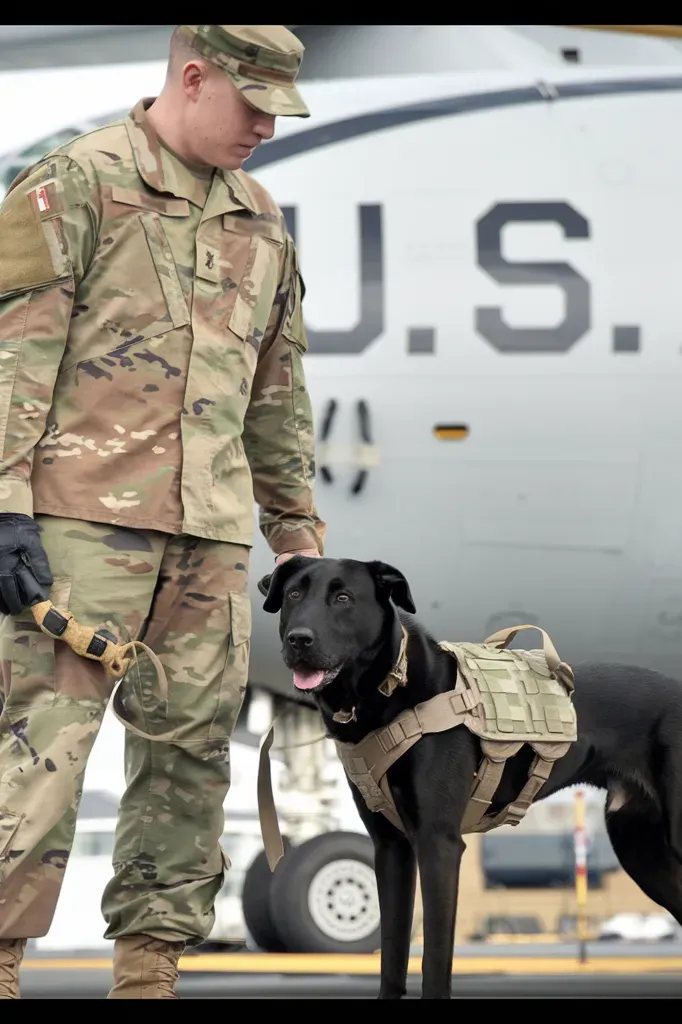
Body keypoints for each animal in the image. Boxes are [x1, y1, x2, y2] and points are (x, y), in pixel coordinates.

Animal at [258, 557, 679, 995]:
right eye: (293, 593)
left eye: (342, 598)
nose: (298, 640)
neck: (392, 688)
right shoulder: (391, 849)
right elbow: (392, 952)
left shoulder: (438, 844)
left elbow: (434, 957)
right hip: (642, 851)